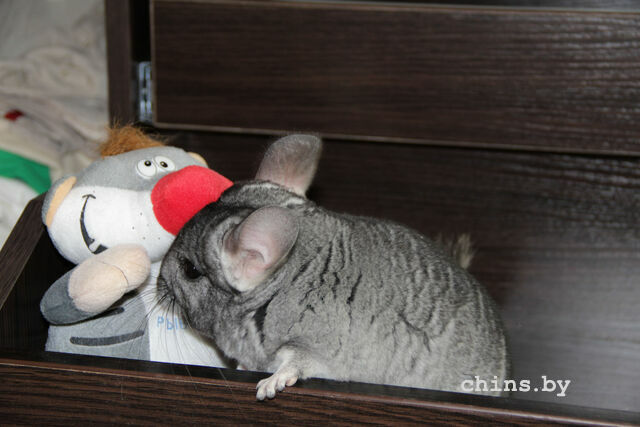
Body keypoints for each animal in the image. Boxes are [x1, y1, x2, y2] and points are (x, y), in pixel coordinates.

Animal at [158, 134, 509, 400]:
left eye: (190, 270)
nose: (159, 281)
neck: (283, 282)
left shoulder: (315, 344)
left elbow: (295, 363)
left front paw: (269, 385)